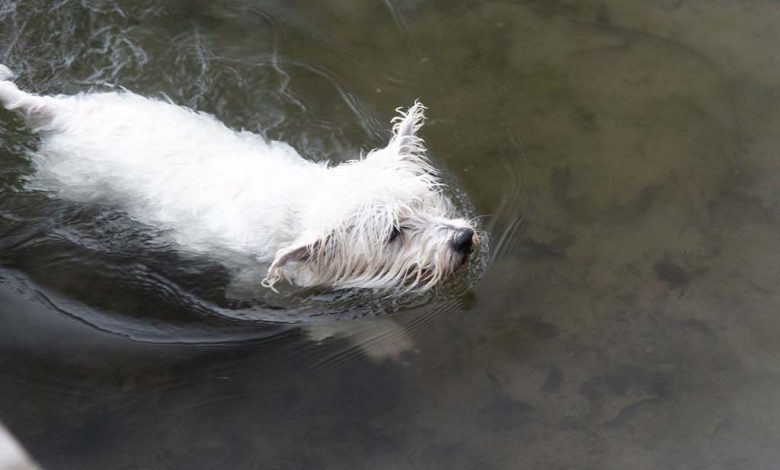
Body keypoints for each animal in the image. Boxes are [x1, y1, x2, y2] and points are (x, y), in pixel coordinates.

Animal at [0, 62, 478, 290]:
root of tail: (60, 114)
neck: (301, 204)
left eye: (426, 202)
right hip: (67, 179)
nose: (463, 239)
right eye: (394, 234)